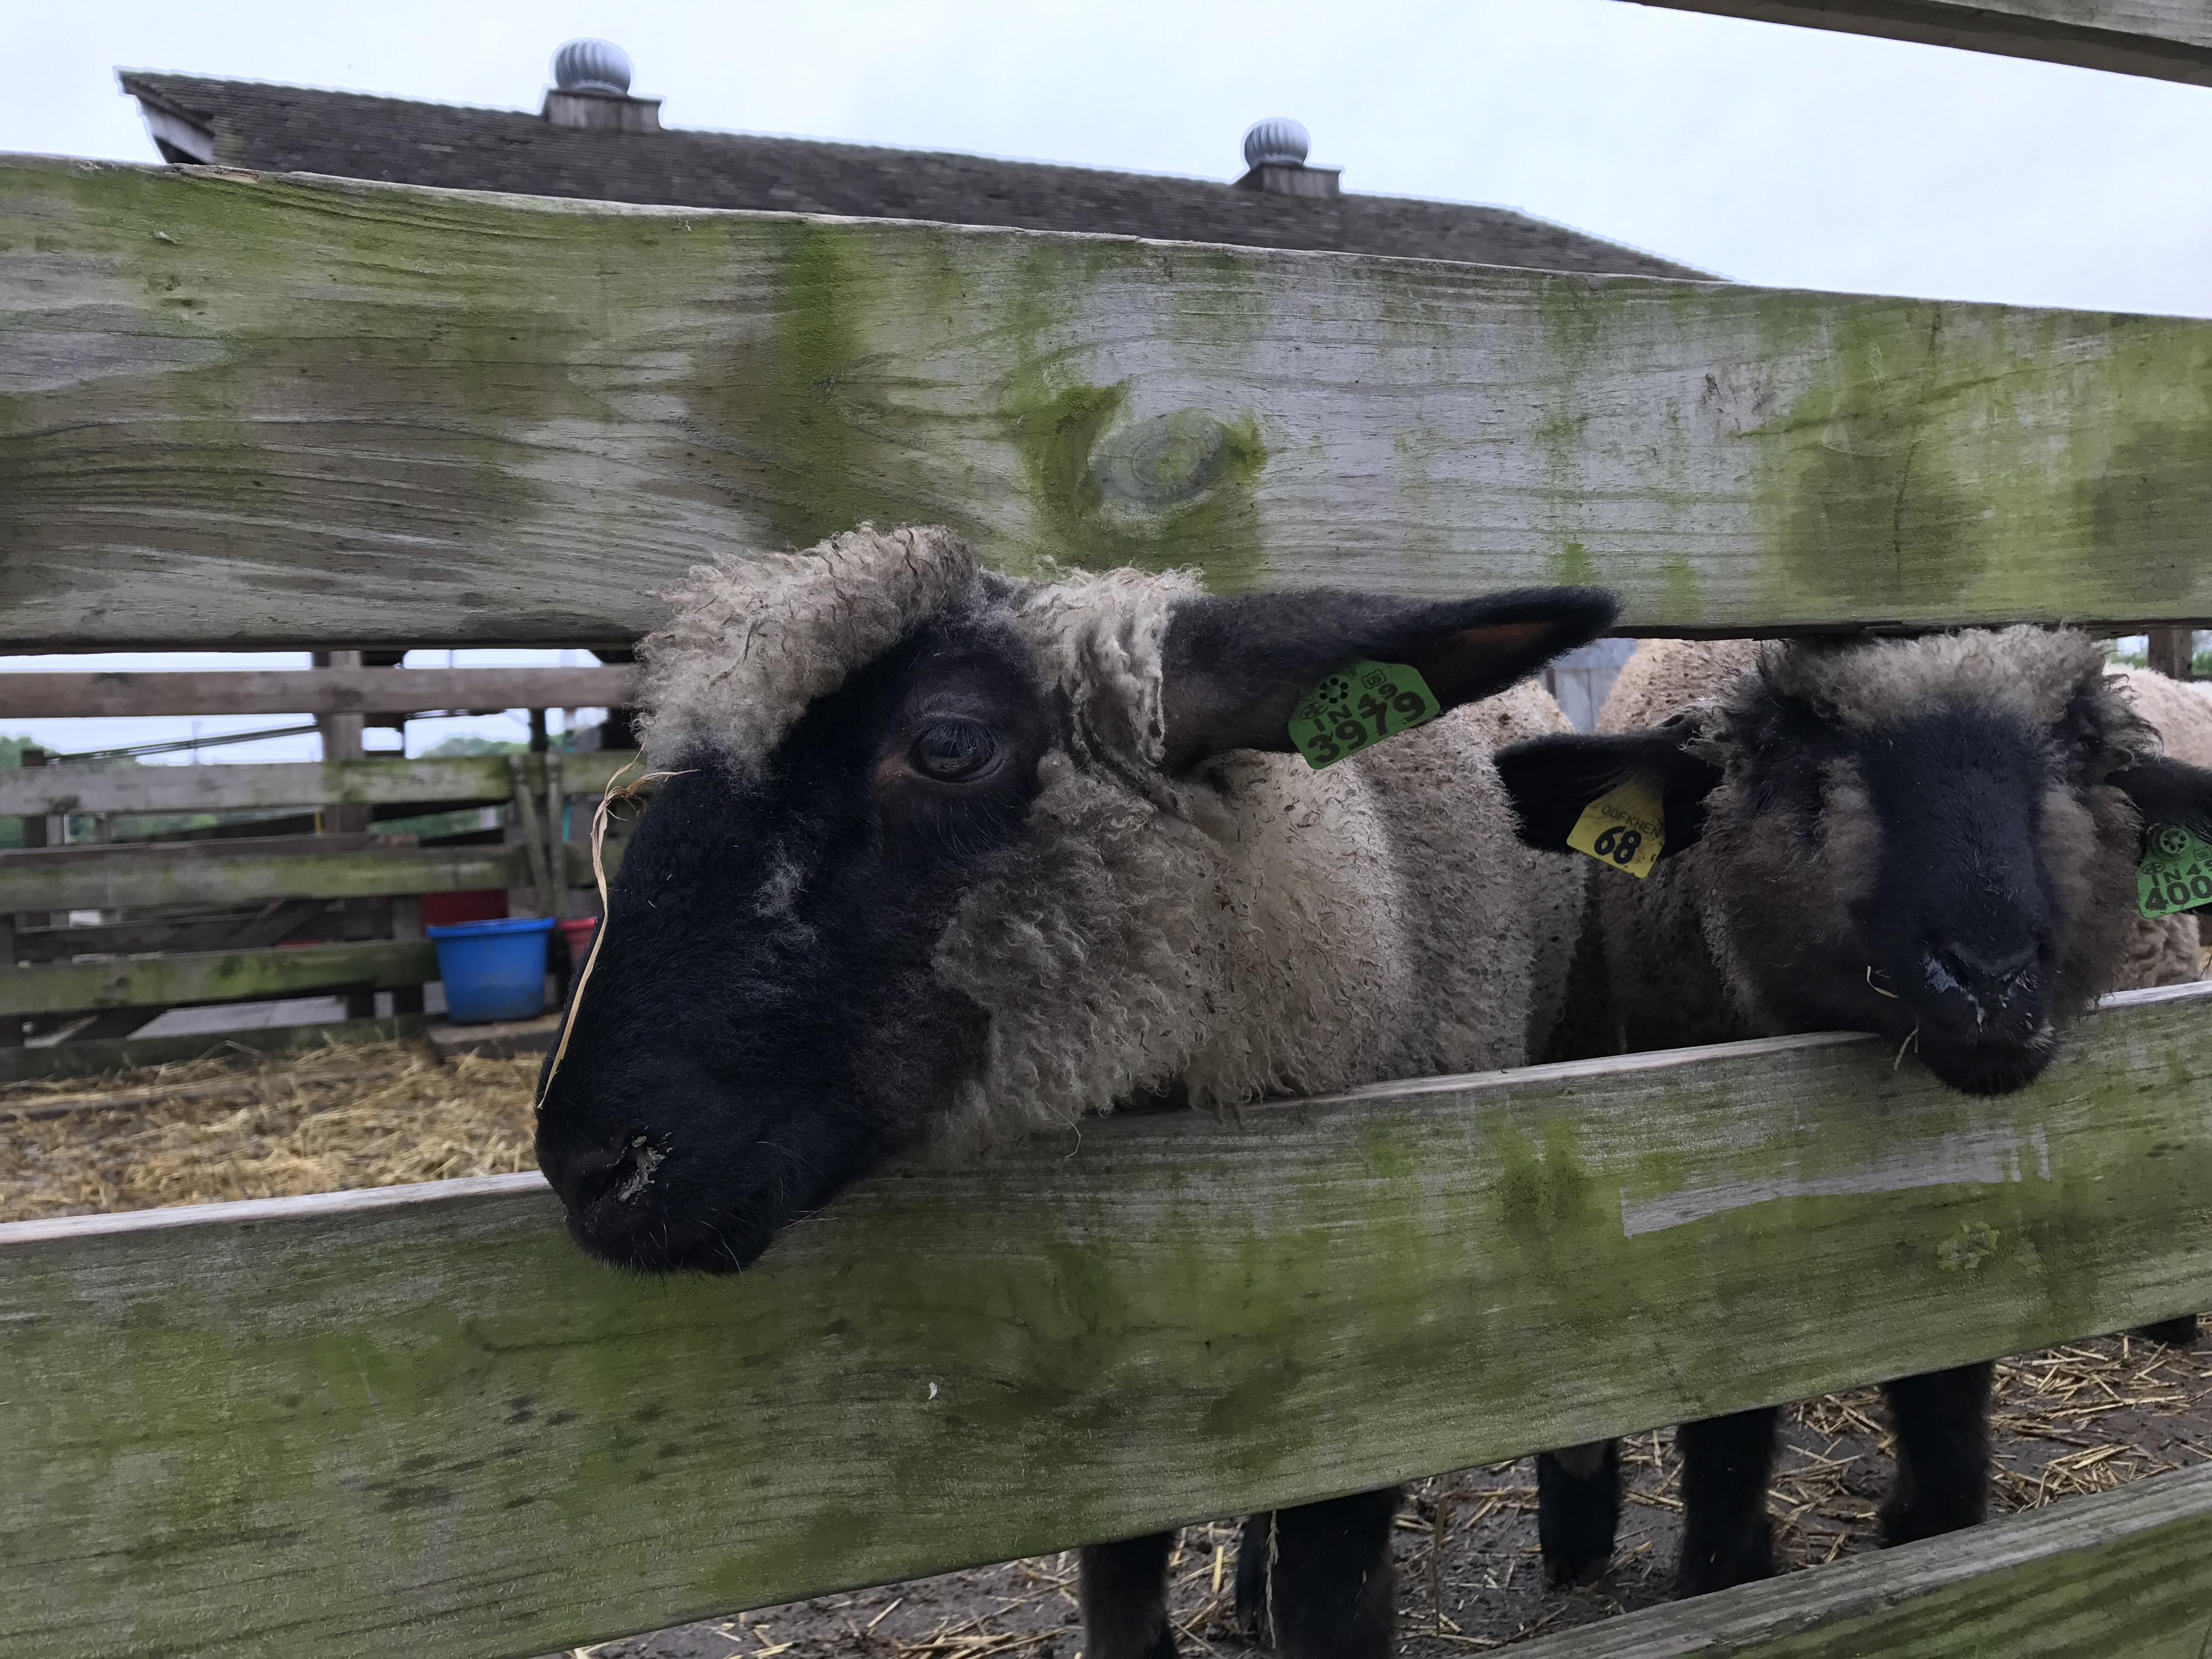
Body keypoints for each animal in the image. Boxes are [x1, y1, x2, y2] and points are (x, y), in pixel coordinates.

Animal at [1495, 628, 2212, 1601]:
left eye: (2087, 753)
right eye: (1794, 759)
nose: (1990, 981)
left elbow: (1947, 1370)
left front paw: (1933, 1527)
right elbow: (1725, 1408)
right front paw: (1725, 1574)